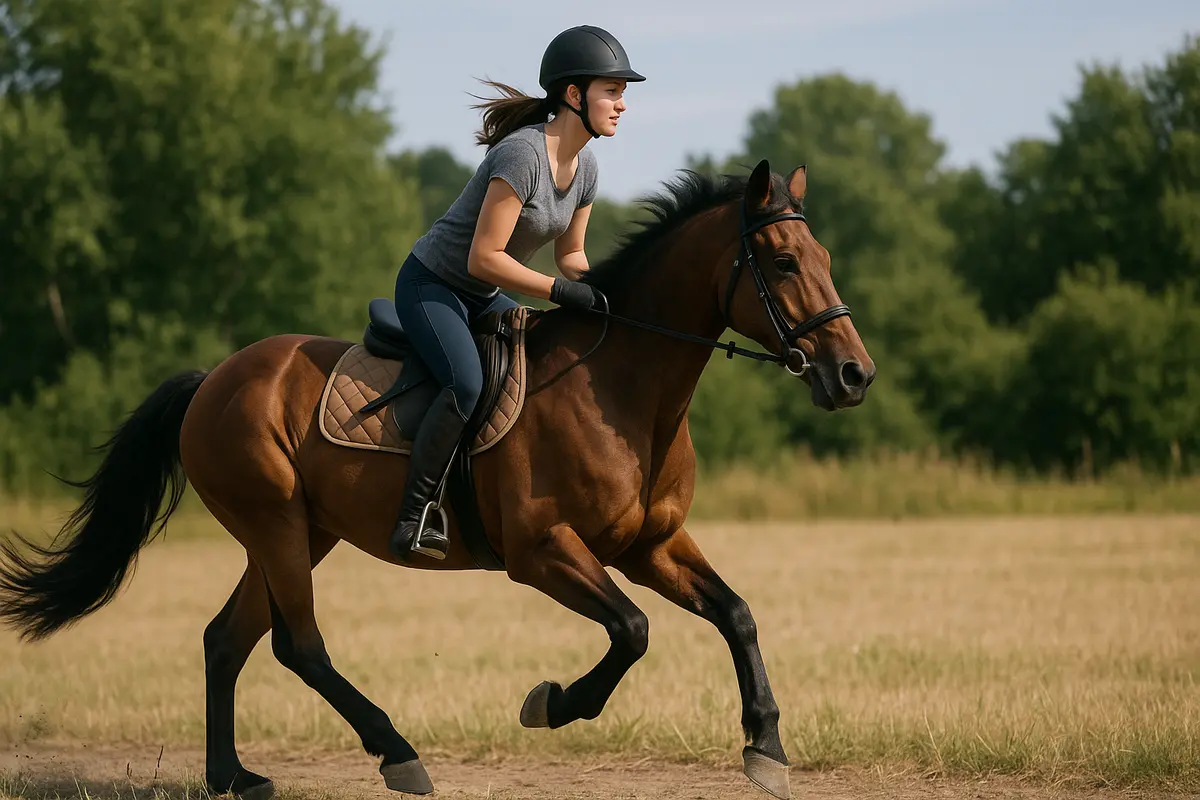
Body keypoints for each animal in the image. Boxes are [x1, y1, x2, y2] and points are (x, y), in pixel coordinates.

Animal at [0, 159, 875, 800]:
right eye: (785, 262)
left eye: (828, 260)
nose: (854, 375)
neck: (624, 388)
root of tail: (213, 378)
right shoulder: (542, 551)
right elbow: (632, 631)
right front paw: (551, 704)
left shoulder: (649, 544)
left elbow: (737, 614)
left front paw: (767, 745)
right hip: (276, 525)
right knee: (298, 644)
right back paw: (396, 752)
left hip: (299, 532)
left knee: (227, 640)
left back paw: (233, 777)